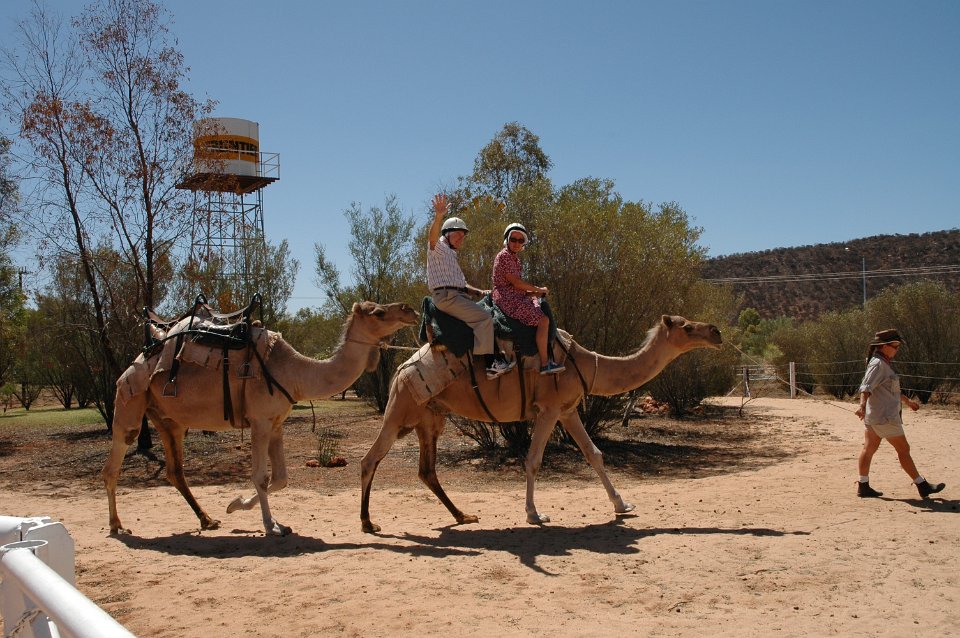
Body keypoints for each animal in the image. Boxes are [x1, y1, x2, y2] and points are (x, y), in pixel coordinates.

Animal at [103, 300, 418, 536]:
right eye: (378, 312)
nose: (410, 310)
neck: (294, 372)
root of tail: (138, 359)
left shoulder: (276, 423)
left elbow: (280, 478)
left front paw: (235, 505)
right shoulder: (260, 420)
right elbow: (260, 476)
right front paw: (270, 525)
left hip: (169, 420)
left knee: (175, 470)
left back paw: (207, 520)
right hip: (130, 398)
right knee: (114, 462)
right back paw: (117, 525)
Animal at [360, 314, 722, 533]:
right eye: (687, 327)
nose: (716, 332)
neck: (586, 363)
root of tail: (400, 370)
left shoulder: (568, 410)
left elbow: (594, 454)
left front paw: (622, 504)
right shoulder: (548, 409)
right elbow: (533, 461)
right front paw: (535, 514)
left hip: (430, 418)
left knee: (427, 470)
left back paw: (463, 516)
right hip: (401, 408)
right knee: (370, 459)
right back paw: (368, 523)